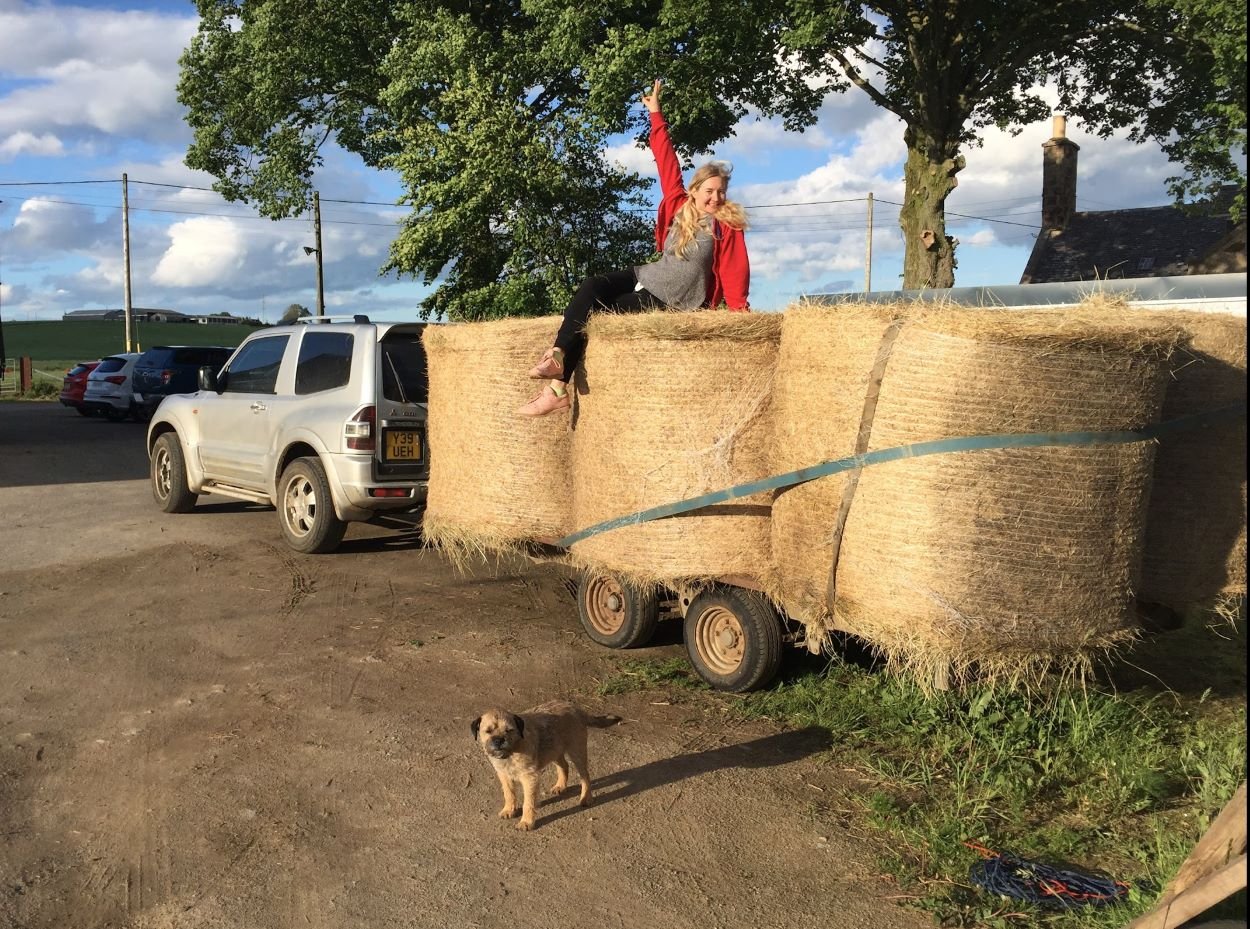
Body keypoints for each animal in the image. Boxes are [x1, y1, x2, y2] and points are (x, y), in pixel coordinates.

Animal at [472, 700, 620, 830]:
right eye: (488, 731)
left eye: (509, 730)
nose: (499, 740)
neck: (513, 750)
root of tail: (575, 708)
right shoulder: (504, 775)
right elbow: (509, 793)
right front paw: (509, 809)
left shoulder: (529, 777)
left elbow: (528, 802)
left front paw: (526, 822)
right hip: (555, 750)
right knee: (564, 766)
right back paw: (560, 786)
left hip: (577, 752)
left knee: (585, 776)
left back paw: (586, 798)